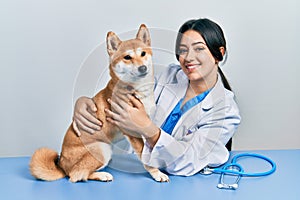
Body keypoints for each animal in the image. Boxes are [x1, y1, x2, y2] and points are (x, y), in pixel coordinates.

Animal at [30, 24, 170, 182]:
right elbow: (144, 154)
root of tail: (62, 165)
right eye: (127, 57)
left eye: (143, 53)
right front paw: (157, 173)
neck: (136, 90)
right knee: (76, 175)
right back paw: (102, 175)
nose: (142, 68)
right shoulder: (131, 130)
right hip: (102, 148)